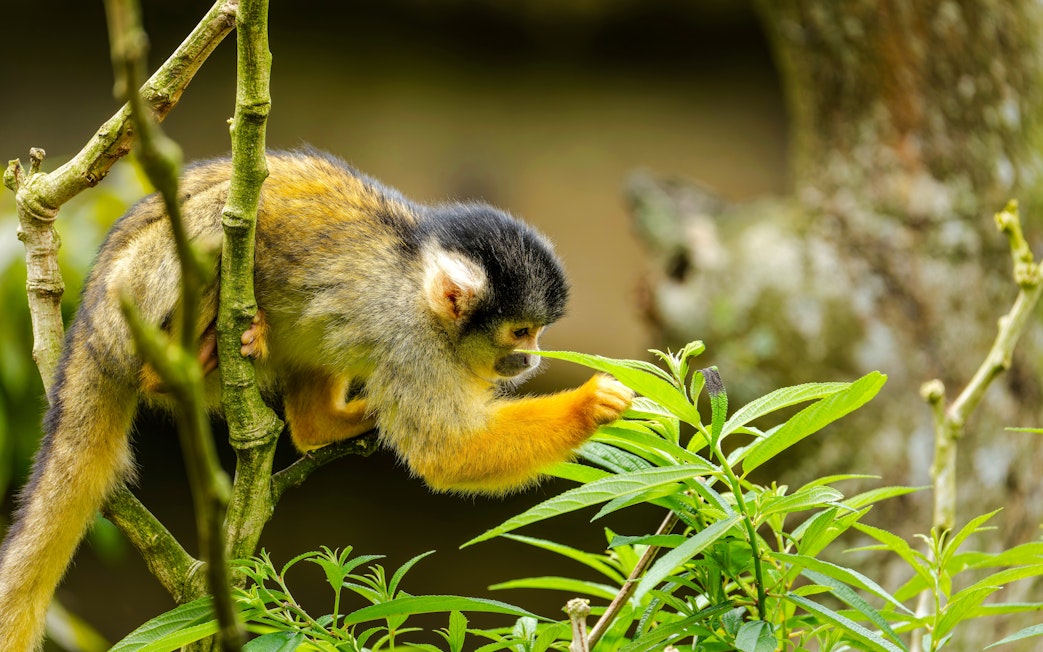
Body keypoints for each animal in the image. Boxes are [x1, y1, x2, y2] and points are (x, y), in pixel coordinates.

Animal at [0, 149, 634, 650]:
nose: (532, 360)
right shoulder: (411, 338)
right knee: (210, 222)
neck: (421, 289)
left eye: (538, 334)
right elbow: (446, 451)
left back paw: (321, 425)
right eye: (521, 332)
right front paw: (591, 403)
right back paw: (178, 365)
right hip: (132, 295)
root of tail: (88, 321)